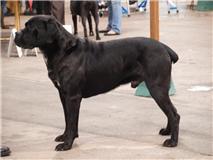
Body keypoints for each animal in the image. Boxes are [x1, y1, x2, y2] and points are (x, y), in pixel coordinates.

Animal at [15, 15, 181, 152]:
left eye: (29, 27)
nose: (16, 34)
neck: (61, 50)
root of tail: (164, 47)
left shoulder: (72, 96)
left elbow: (71, 120)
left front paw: (67, 144)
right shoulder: (63, 94)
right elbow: (68, 120)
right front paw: (65, 136)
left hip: (156, 88)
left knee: (174, 114)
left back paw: (172, 142)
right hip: (159, 89)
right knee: (170, 112)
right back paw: (167, 132)